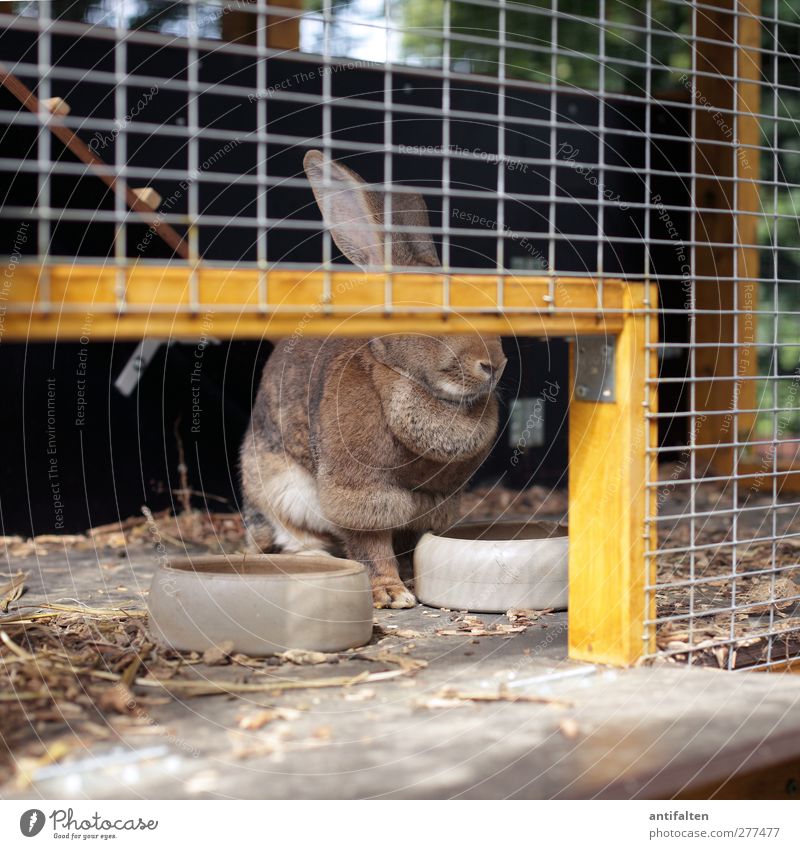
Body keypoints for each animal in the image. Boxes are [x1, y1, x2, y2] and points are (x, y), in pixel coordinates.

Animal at [241, 149, 510, 608]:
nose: (494, 364)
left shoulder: (434, 501)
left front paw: (411, 578)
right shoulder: (360, 490)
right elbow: (370, 543)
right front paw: (391, 592)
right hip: (279, 489)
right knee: (292, 537)